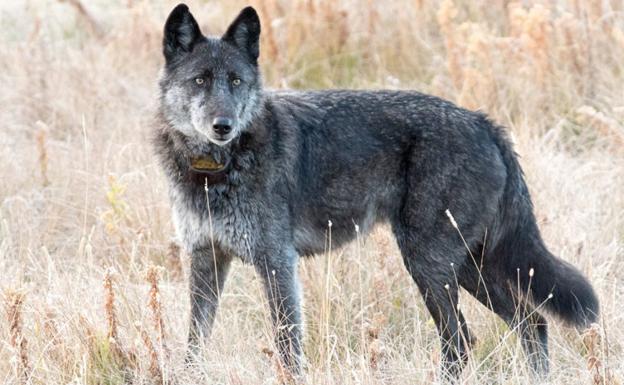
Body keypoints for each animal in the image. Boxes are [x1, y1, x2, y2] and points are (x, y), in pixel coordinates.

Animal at [154, 3, 596, 380]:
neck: (214, 171)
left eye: (235, 81)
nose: (223, 126)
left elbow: (287, 345)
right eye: (199, 81)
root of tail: (484, 122)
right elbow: (195, 340)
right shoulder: (206, 258)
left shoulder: (277, 262)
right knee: (531, 322)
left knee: (462, 340)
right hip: (471, 267)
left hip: (432, 265)